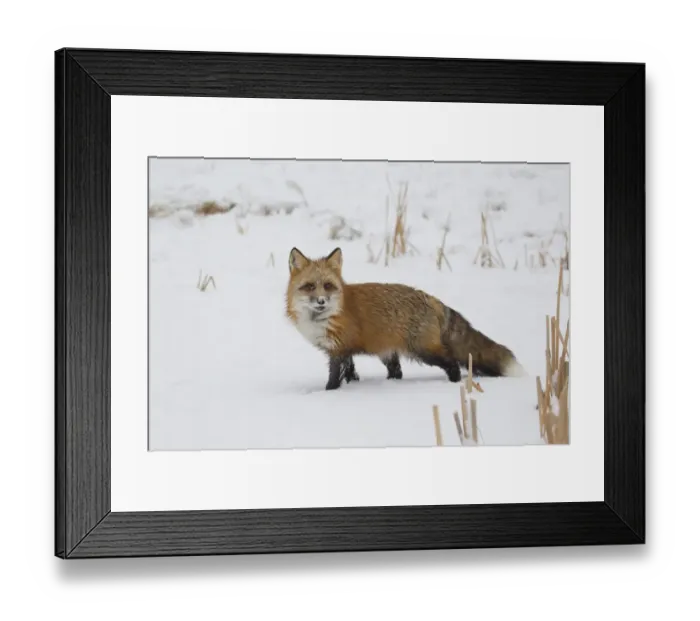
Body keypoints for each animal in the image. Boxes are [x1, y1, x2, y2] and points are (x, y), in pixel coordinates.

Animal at [285, 246, 526, 390]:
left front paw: (329, 393)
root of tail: (432, 298)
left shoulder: (339, 349)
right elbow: (351, 373)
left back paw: (453, 384)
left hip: (423, 351)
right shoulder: (344, 350)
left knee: (452, 363)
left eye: (327, 286)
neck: (326, 317)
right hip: (388, 352)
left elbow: (335, 377)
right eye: (309, 286)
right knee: (397, 373)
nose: (321, 301)